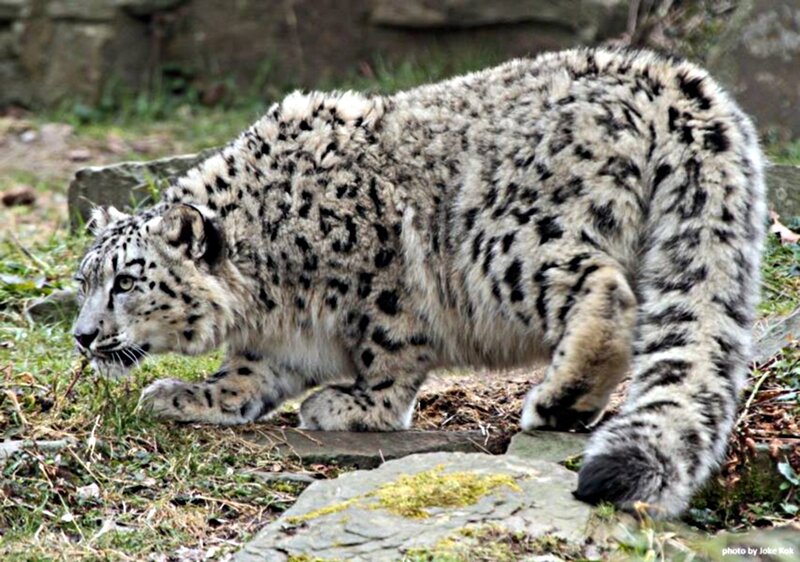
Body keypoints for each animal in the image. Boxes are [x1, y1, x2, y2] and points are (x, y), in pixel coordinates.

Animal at [73, 47, 767, 517]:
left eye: (126, 281)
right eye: (84, 281)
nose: (82, 335)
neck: (270, 288)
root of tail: (660, 77)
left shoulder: (382, 286)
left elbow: (390, 350)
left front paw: (355, 406)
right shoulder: (275, 339)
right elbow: (248, 375)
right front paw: (189, 396)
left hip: (506, 245)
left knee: (606, 290)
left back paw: (559, 400)